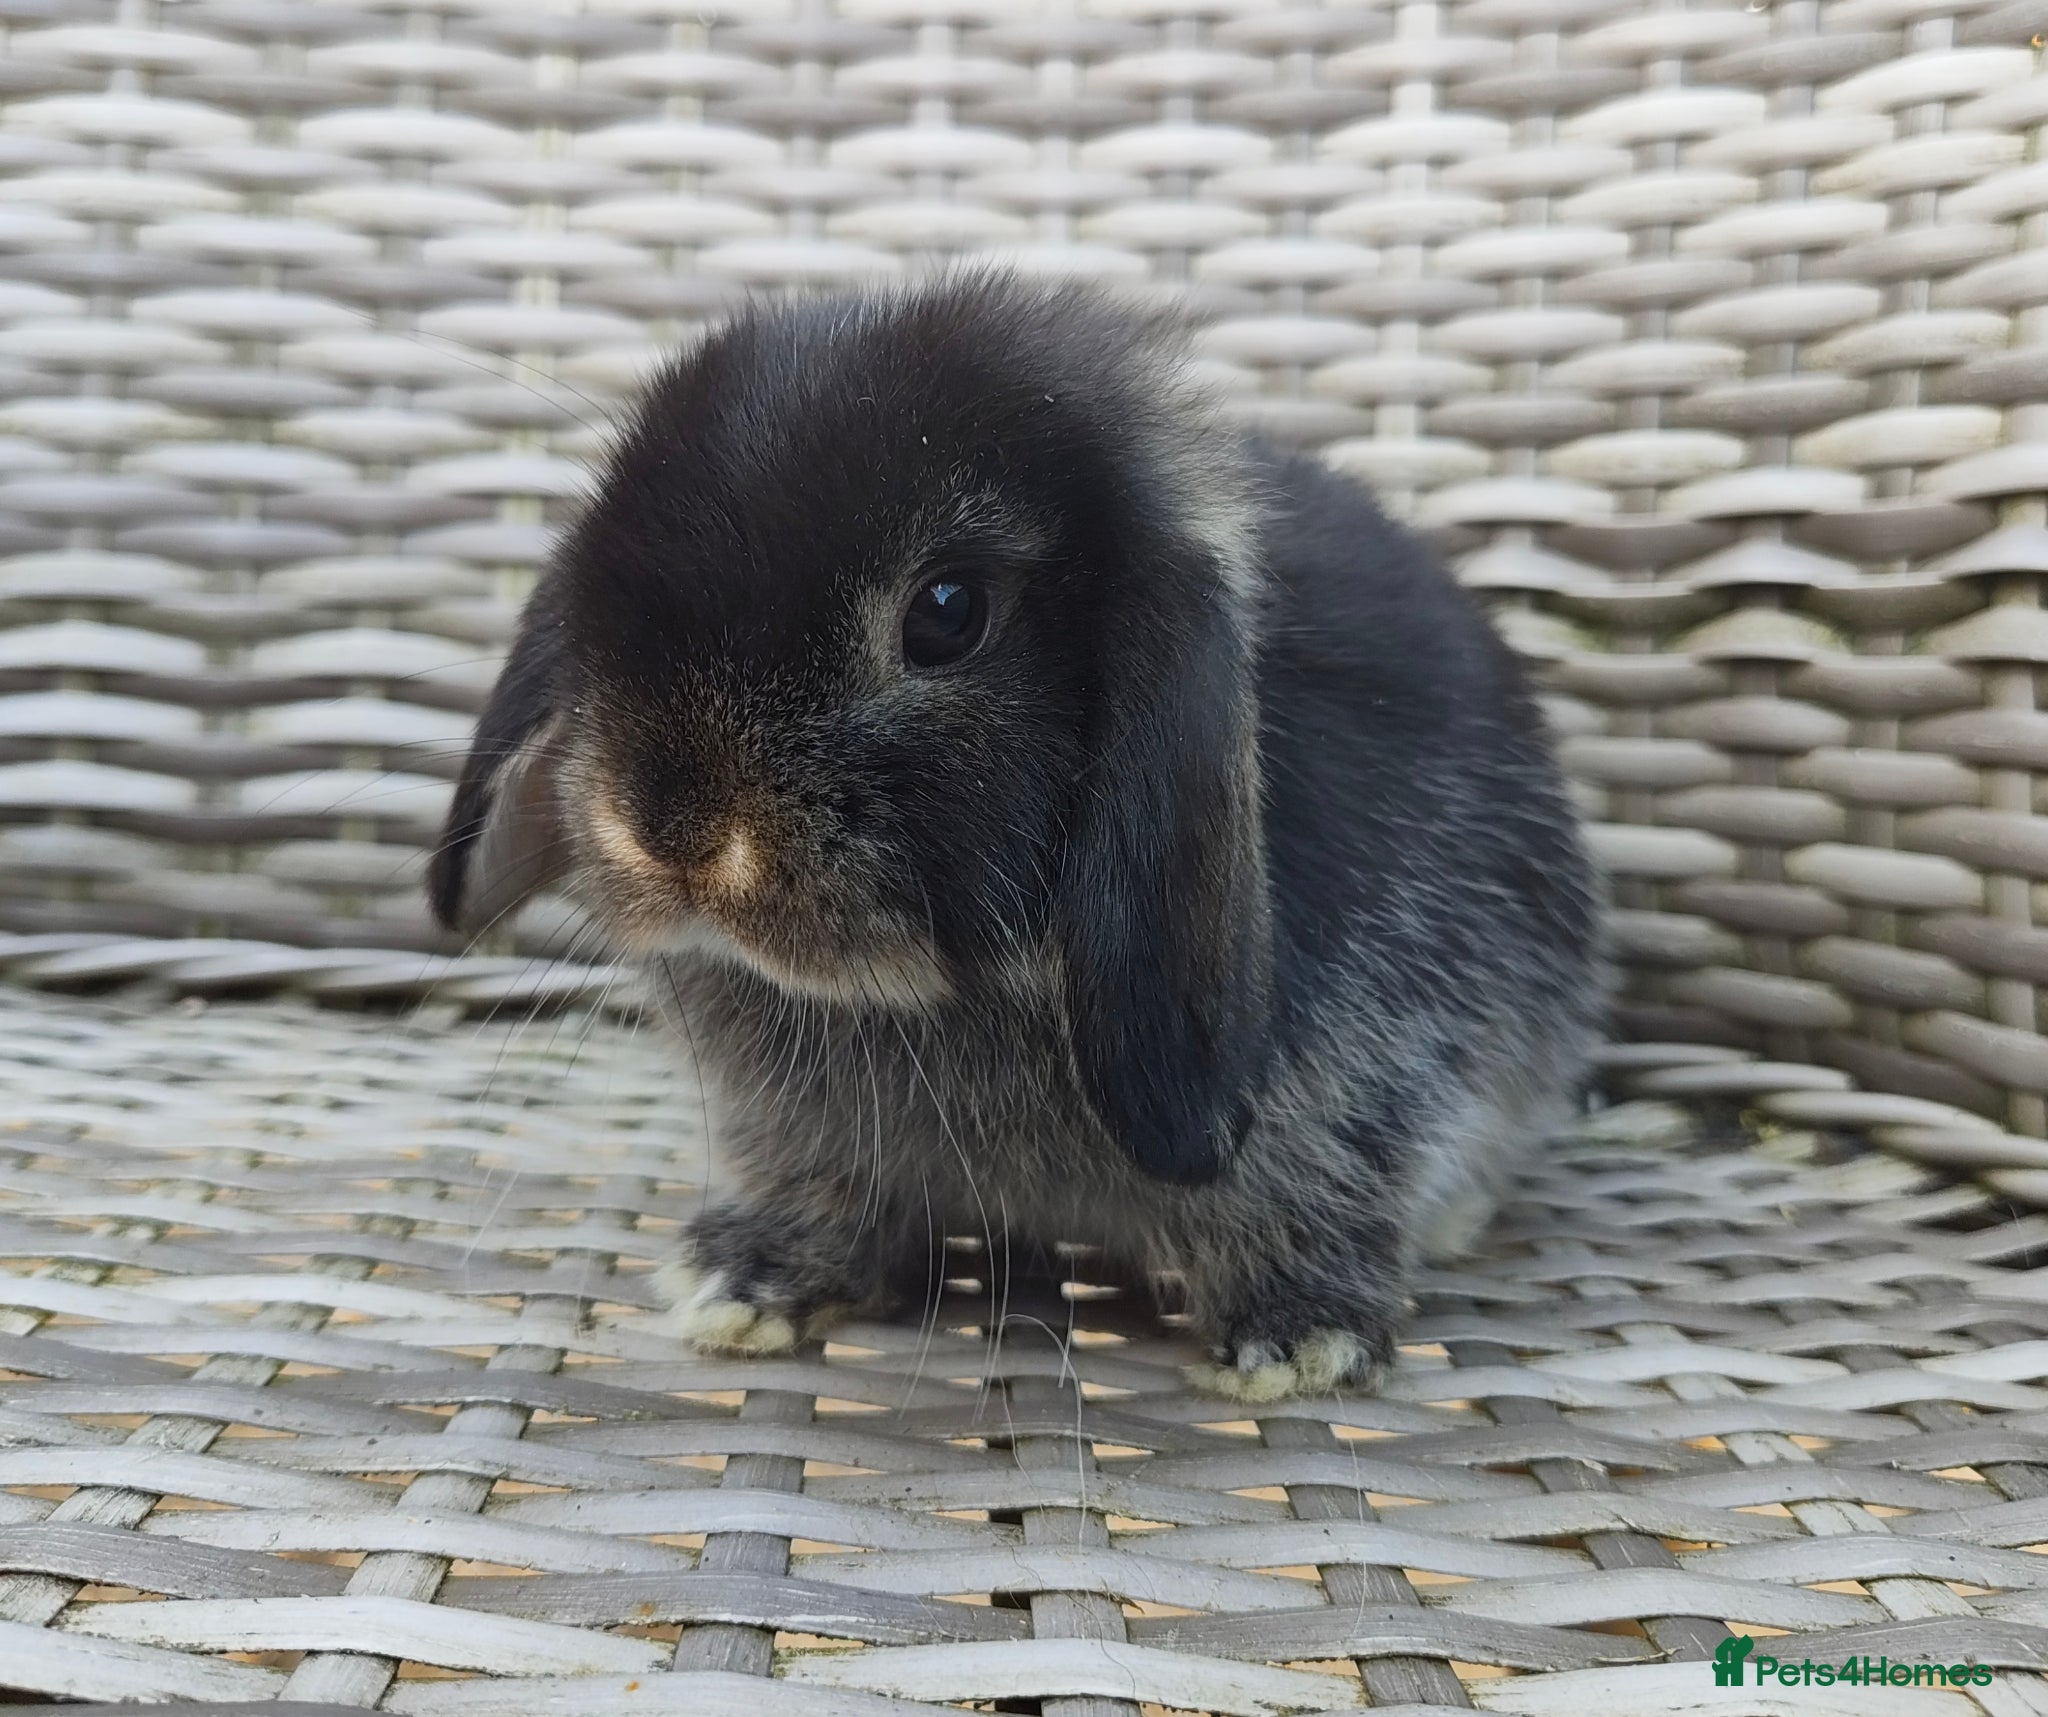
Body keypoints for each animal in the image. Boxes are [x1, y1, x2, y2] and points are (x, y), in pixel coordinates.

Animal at [429, 271, 1602, 1402]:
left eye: (947, 612)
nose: (669, 827)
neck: (949, 995)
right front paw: (743, 1282)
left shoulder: (1363, 1087)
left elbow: (1312, 1195)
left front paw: (1298, 1341)